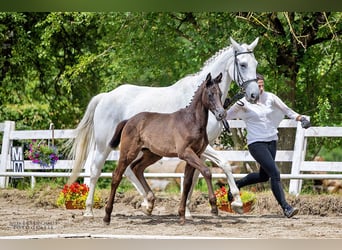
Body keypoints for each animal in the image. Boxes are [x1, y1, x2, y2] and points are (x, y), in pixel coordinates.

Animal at [67, 36, 260, 218]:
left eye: (256, 64)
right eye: (242, 64)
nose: (254, 95)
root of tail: (105, 96)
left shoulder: (201, 149)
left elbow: (194, 176)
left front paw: (187, 209)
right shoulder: (200, 148)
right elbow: (224, 164)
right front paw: (237, 202)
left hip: (137, 148)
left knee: (129, 170)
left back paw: (147, 203)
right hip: (104, 145)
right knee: (96, 170)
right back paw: (89, 210)